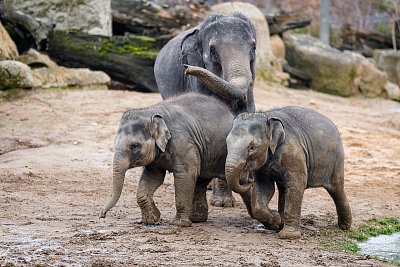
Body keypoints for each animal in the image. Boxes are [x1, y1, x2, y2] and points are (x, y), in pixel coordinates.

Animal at [100, 93, 250, 227]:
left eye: (134, 146)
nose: (102, 215)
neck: (151, 111)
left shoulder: (182, 142)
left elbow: (185, 175)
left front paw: (178, 224)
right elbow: (153, 177)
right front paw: (152, 220)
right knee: (200, 181)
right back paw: (197, 220)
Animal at [227, 107, 352, 241]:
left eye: (252, 147)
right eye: (226, 143)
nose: (248, 179)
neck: (267, 116)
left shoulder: (292, 152)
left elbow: (297, 184)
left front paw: (288, 236)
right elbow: (265, 188)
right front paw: (276, 221)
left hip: (336, 160)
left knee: (336, 189)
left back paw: (345, 226)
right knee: (284, 189)